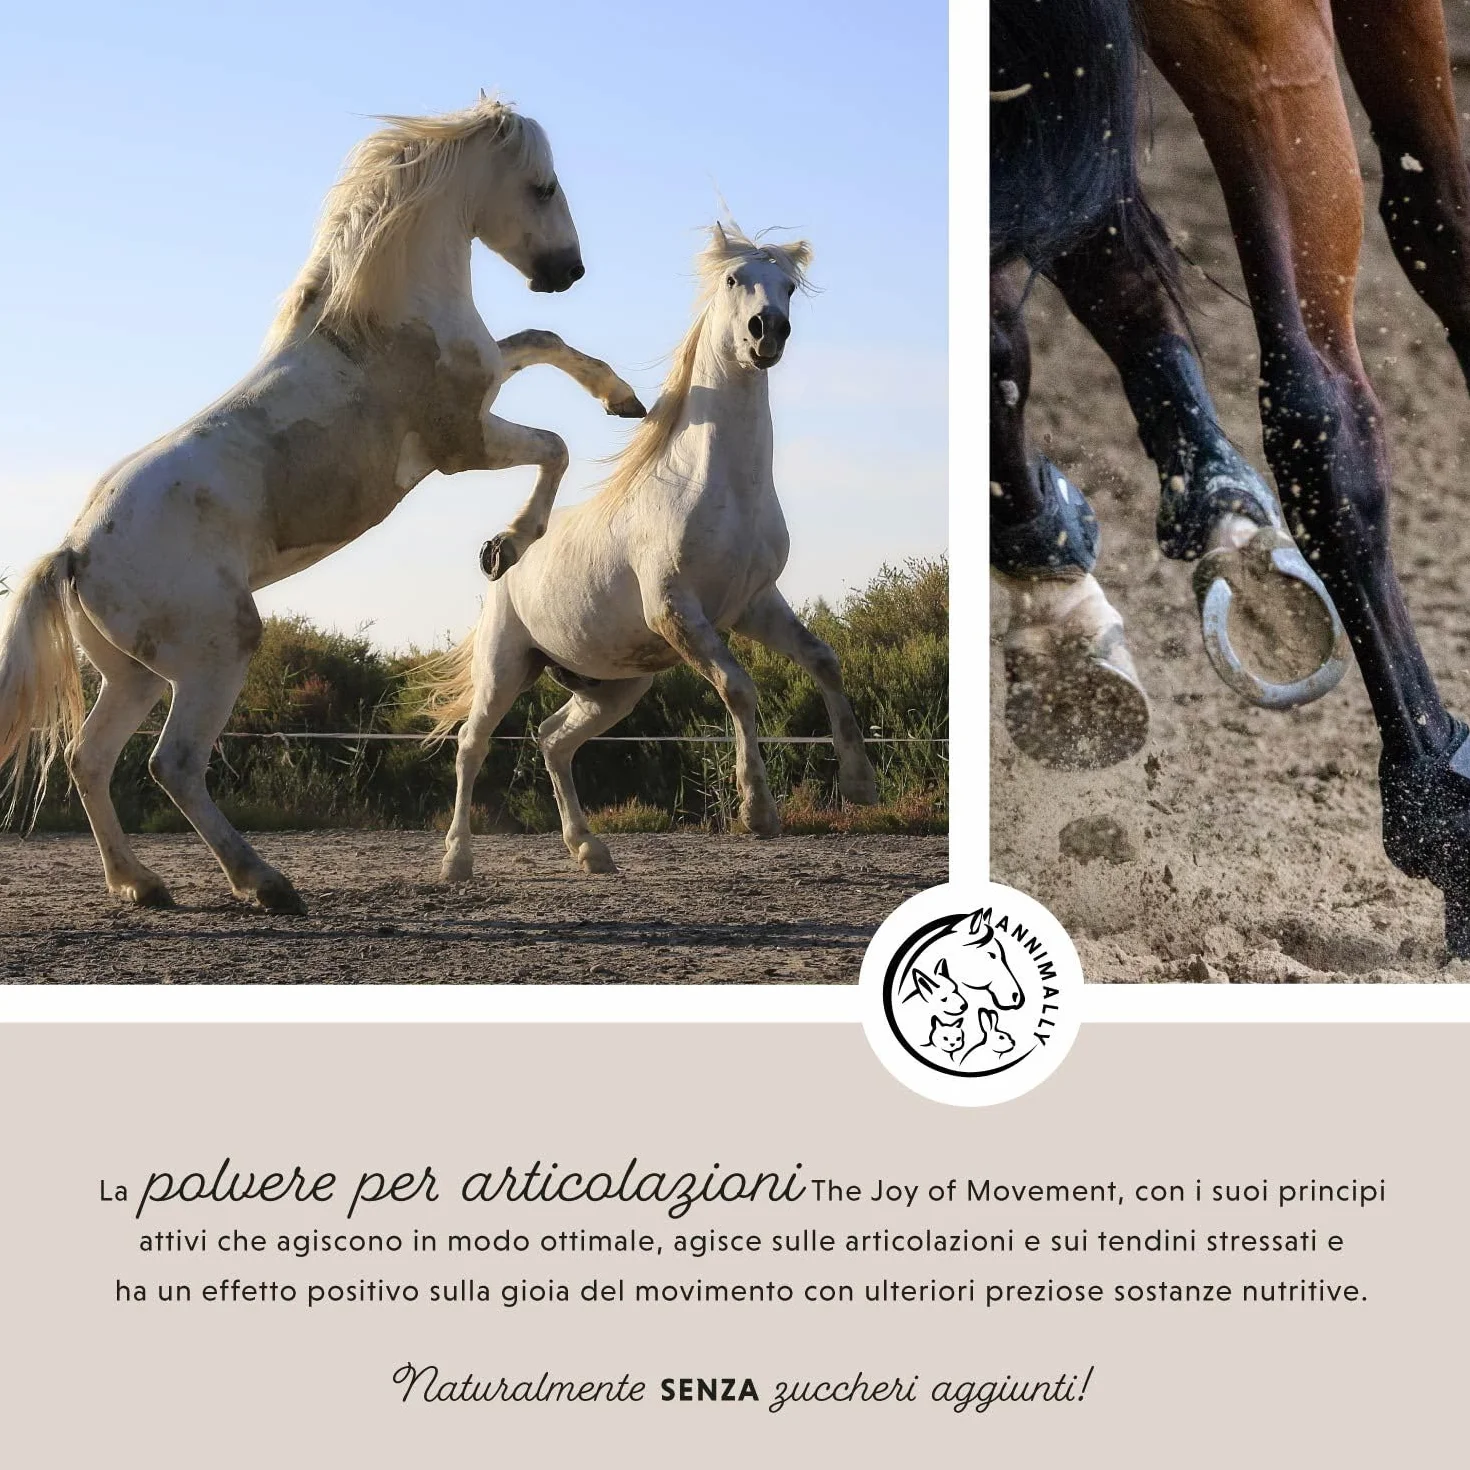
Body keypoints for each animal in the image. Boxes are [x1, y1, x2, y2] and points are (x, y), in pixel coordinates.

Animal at [0, 95, 645, 915]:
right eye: (542, 185)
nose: (568, 270)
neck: (379, 320)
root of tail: (75, 552)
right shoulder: (462, 443)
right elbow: (554, 444)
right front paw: (506, 546)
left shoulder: (486, 384)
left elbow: (543, 340)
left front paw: (624, 400)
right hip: (217, 650)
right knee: (172, 764)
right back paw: (266, 884)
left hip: (135, 674)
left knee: (89, 759)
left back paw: (142, 885)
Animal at [418, 224, 880, 881]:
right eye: (735, 279)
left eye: (789, 287)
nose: (768, 331)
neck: (723, 487)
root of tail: (502, 568)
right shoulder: (677, 610)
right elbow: (740, 687)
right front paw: (758, 811)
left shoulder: (754, 605)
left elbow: (824, 660)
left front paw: (861, 784)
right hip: (504, 666)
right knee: (471, 746)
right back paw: (457, 861)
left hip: (614, 687)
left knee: (553, 740)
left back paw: (590, 850)